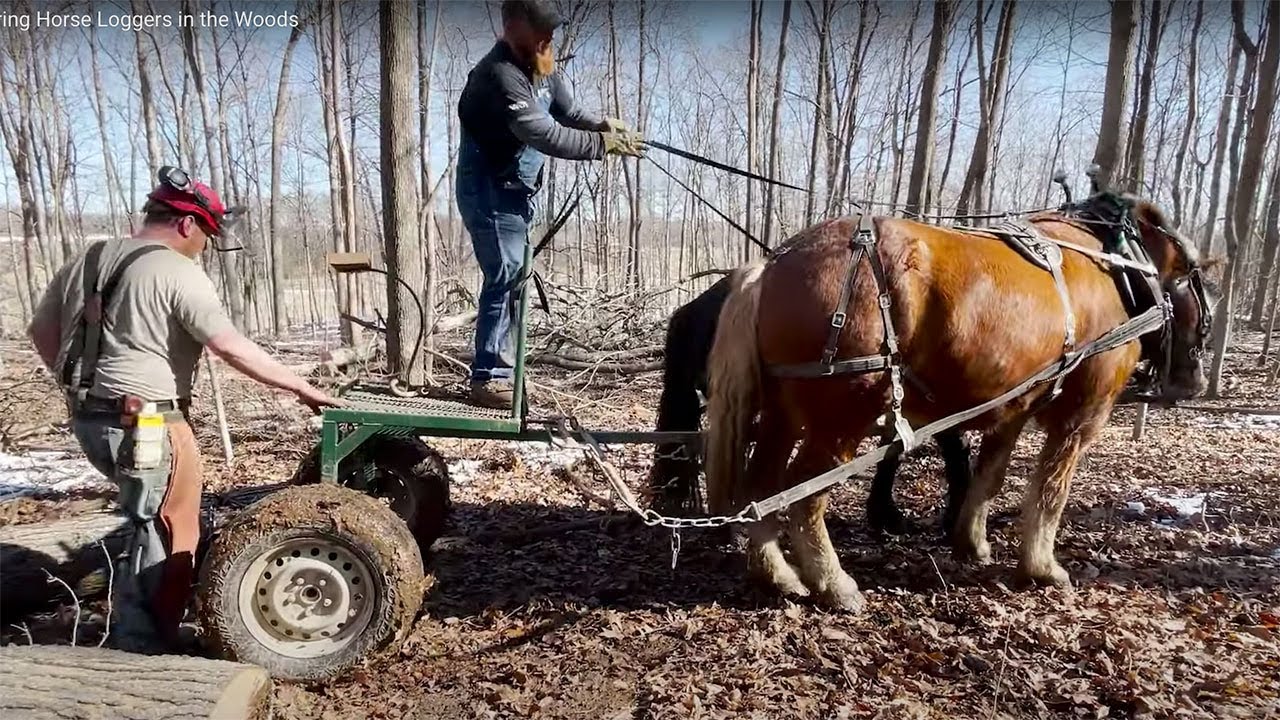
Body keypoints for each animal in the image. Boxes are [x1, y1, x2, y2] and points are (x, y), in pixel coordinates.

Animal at [704, 193, 1216, 611]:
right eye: (1196, 279)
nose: (1194, 377)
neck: (1121, 270)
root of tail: (772, 266)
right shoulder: (1082, 413)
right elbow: (1051, 491)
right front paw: (1042, 567)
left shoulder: (1014, 406)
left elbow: (989, 477)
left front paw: (972, 542)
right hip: (842, 416)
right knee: (805, 494)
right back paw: (834, 584)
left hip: (782, 412)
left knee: (762, 486)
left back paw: (776, 574)